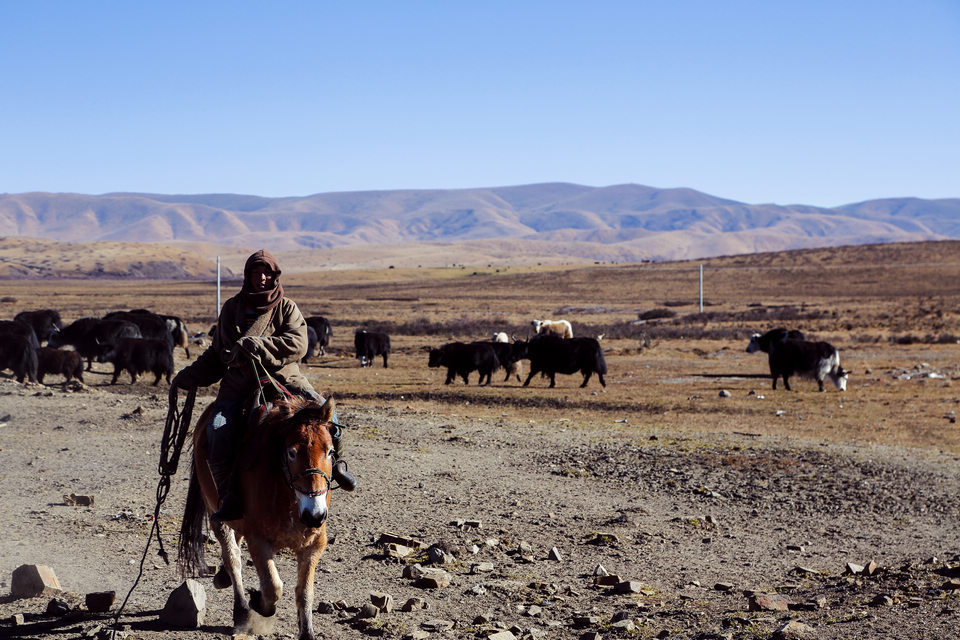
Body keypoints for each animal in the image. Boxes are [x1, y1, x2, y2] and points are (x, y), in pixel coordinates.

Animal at [178, 396, 340, 640]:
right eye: (291, 453)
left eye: (330, 451)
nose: (315, 515)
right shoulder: (258, 541)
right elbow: (273, 587)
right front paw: (258, 602)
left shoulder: (314, 544)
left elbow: (304, 592)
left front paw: (307, 632)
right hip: (217, 514)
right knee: (233, 558)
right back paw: (241, 609)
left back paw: (223, 577)